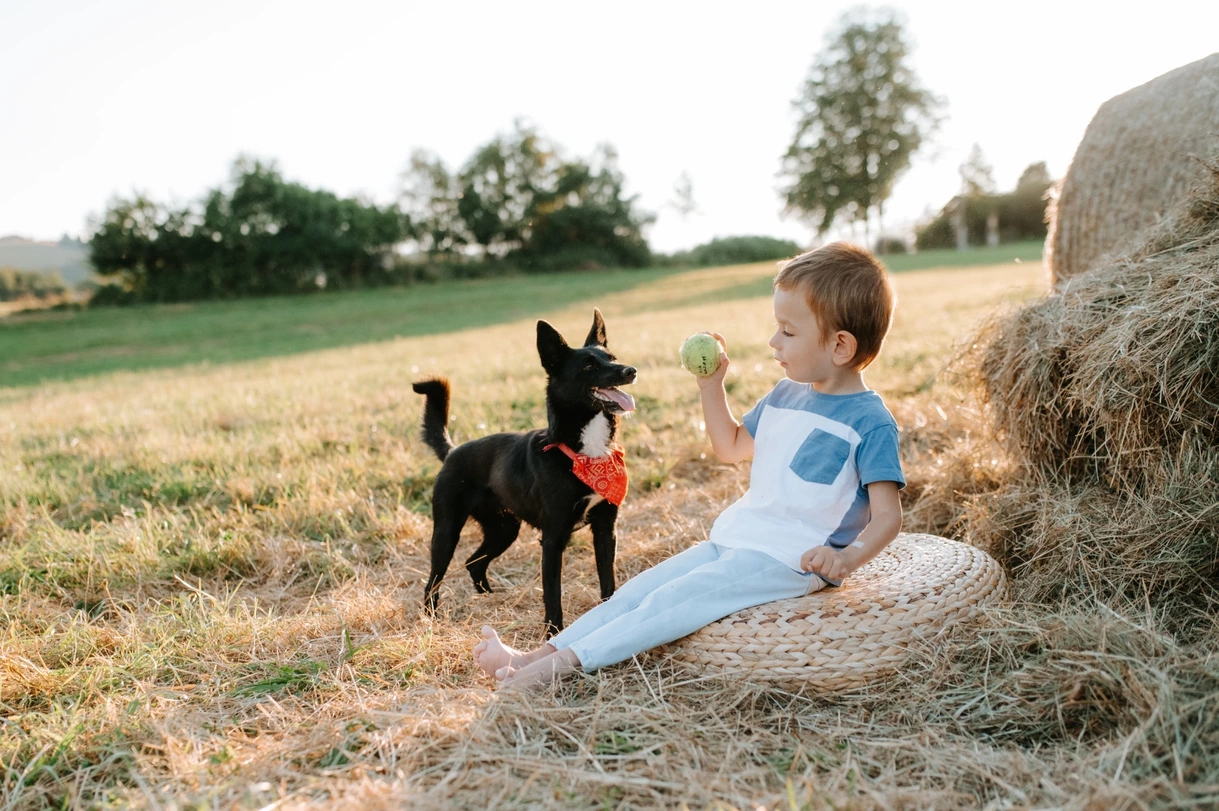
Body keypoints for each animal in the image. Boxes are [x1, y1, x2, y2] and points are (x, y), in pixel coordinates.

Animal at [412, 308, 638, 634]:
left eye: (612, 357)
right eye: (588, 366)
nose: (631, 370)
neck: (585, 451)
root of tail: (452, 452)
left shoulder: (606, 528)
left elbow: (608, 580)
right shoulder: (553, 539)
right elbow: (553, 594)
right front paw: (553, 633)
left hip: (504, 528)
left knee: (473, 562)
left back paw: (489, 598)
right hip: (446, 530)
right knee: (434, 578)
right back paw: (431, 617)